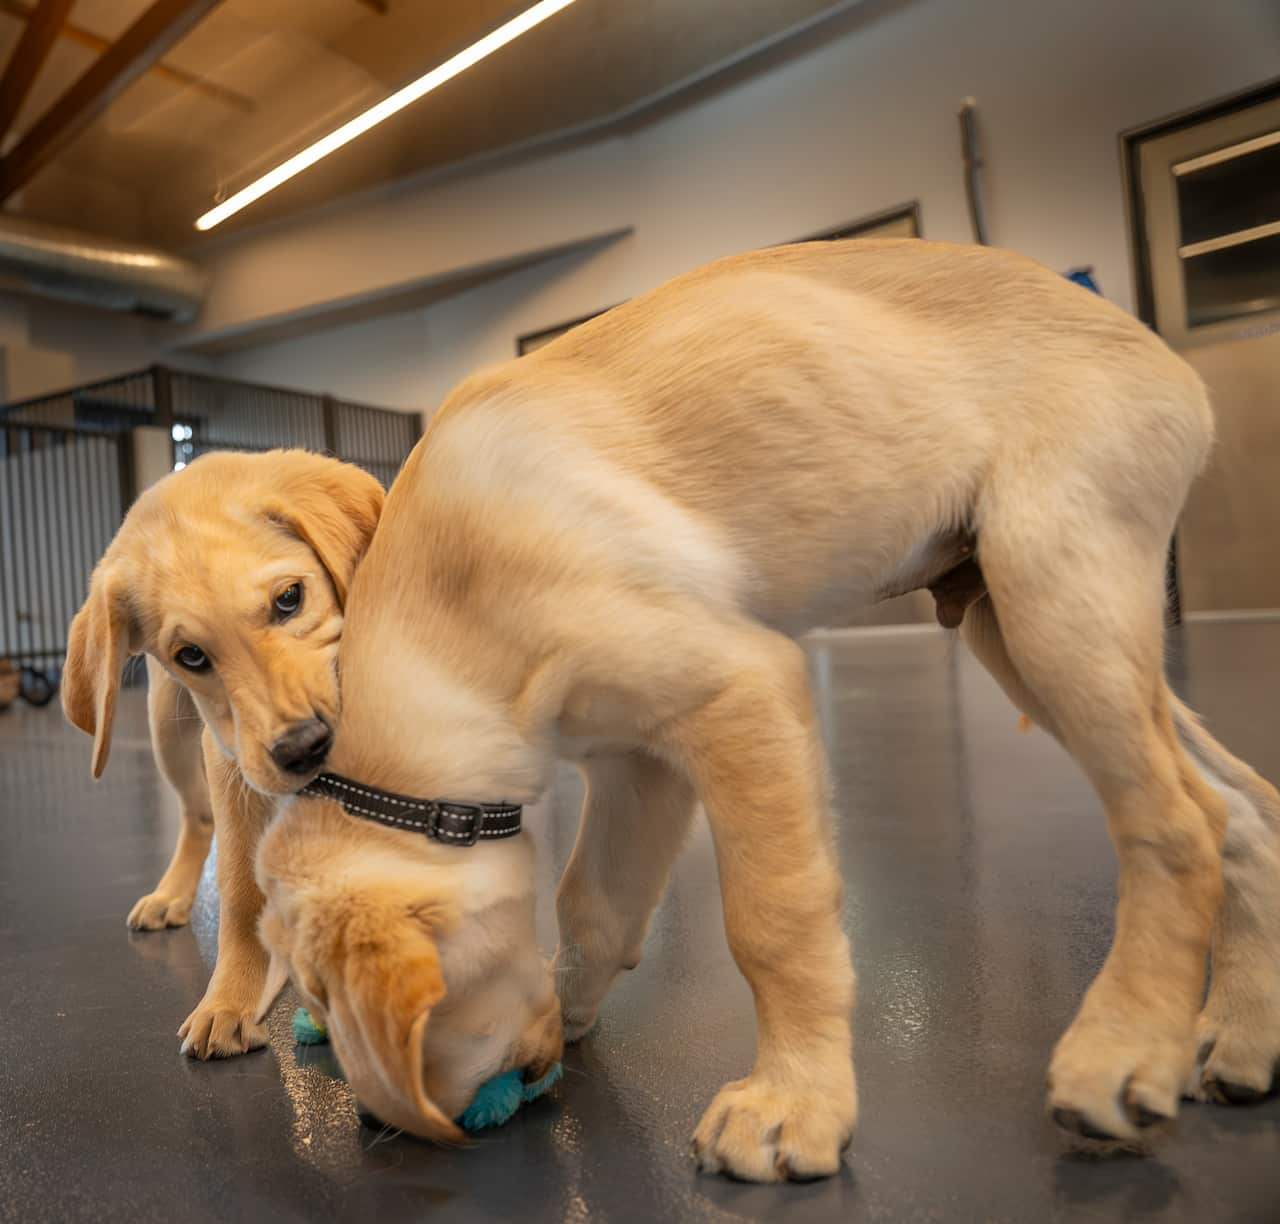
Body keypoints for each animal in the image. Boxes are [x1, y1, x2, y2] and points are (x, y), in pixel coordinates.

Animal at [64, 453, 381, 1054]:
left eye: (289, 598)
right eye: (191, 655)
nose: (303, 748)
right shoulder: (231, 757)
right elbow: (238, 890)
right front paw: (231, 999)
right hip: (168, 732)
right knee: (199, 816)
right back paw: (171, 894)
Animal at [249, 239, 1280, 1177]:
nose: (384, 1124)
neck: (451, 612)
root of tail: (1155, 348)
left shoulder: (741, 692)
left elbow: (772, 921)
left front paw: (795, 1102)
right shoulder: (635, 763)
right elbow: (595, 907)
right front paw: (572, 1003)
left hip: (1053, 593)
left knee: (1179, 819)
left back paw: (1122, 1052)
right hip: (1024, 625)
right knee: (1241, 809)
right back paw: (1236, 1038)